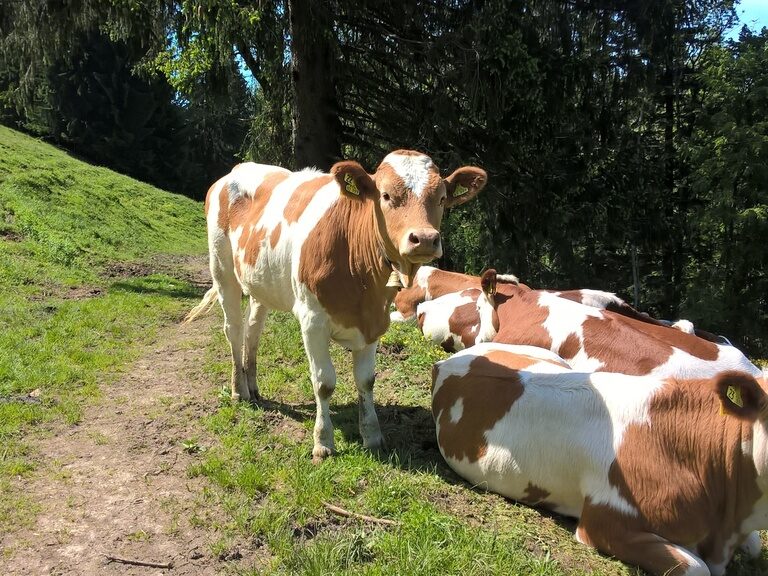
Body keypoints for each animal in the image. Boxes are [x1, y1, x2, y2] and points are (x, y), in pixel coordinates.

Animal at [184, 151, 486, 460]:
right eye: (386, 195)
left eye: (441, 198)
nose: (424, 238)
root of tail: (238, 169)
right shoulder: (312, 321)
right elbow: (324, 382)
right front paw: (323, 442)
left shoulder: (375, 322)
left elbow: (366, 380)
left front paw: (372, 435)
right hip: (223, 270)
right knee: (233, 329)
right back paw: (238, 390)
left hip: (260, 282)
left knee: (253, 330)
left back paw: (253, 387)